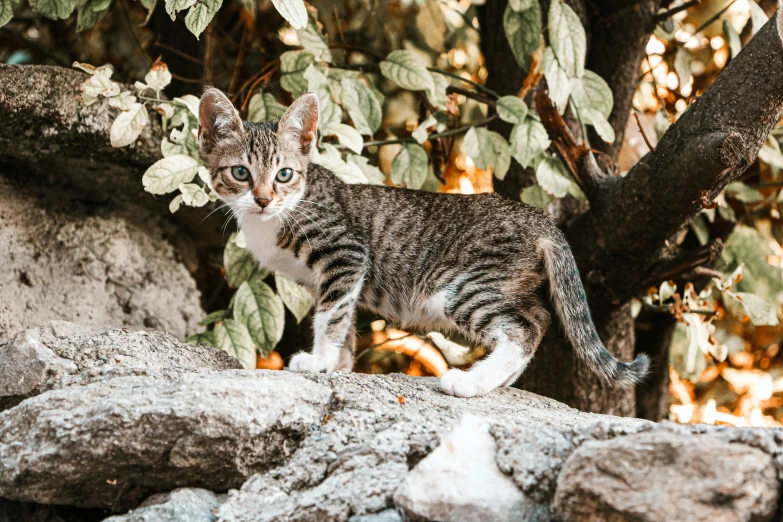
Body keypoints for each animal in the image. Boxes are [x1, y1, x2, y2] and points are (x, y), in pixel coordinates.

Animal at [198, 89, 648, 396]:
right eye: (240, 172)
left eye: (284, 175)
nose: (262, 199)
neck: (279, 216)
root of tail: (538, 217)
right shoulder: (329, 277)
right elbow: (344, 320)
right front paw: (339, 366)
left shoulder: (345, 253)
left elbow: (331, 315)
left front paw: (319, 360)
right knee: (537, 316)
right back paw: (497, 382)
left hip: (457, 285)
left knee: (524, 327)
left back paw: (470, 383)